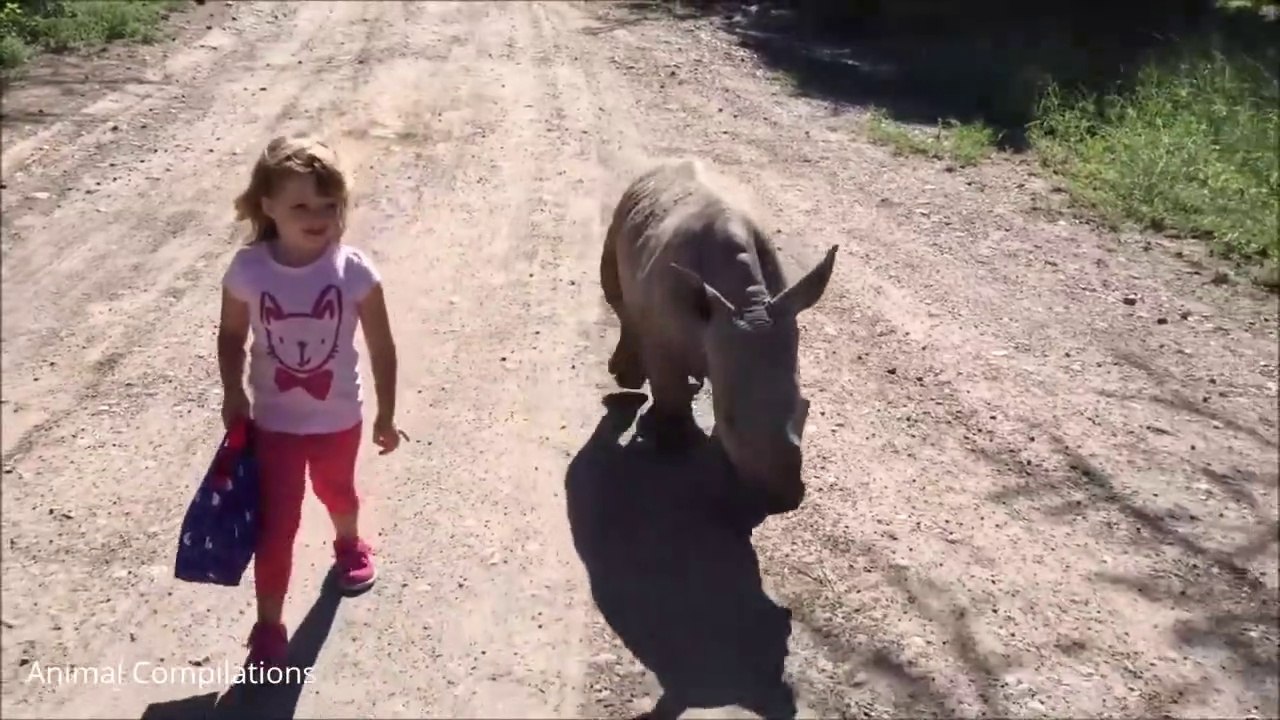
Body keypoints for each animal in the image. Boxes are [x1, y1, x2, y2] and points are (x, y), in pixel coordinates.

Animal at [599, 158, 837, 513]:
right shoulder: (663, 337)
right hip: (620, 217)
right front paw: (676, 444)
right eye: (727, 418)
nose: (783, 499)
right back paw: (628, 382)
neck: (748, 303)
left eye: (806, 407)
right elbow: (668, 383)